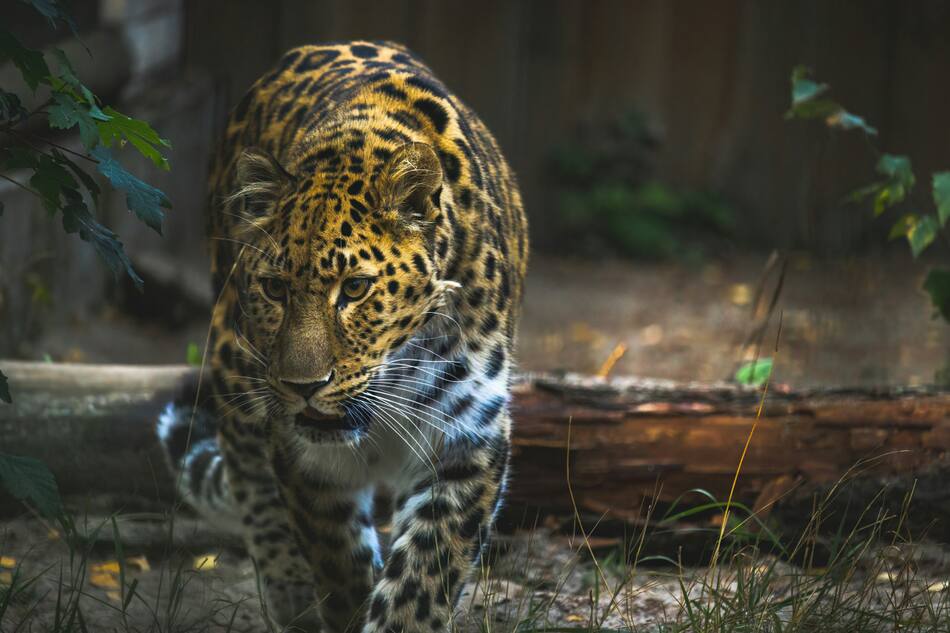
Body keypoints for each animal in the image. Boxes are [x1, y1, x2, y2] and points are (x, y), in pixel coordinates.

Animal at [157, 40, 527, 633]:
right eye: (275, 288)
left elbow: (422, 578)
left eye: (354, 288)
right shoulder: (304, 457)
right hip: (232, 359)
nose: (304, 385)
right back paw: (288, 591)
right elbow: (337, 561)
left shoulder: (468, 435)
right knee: (247, 470)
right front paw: (335, 599)